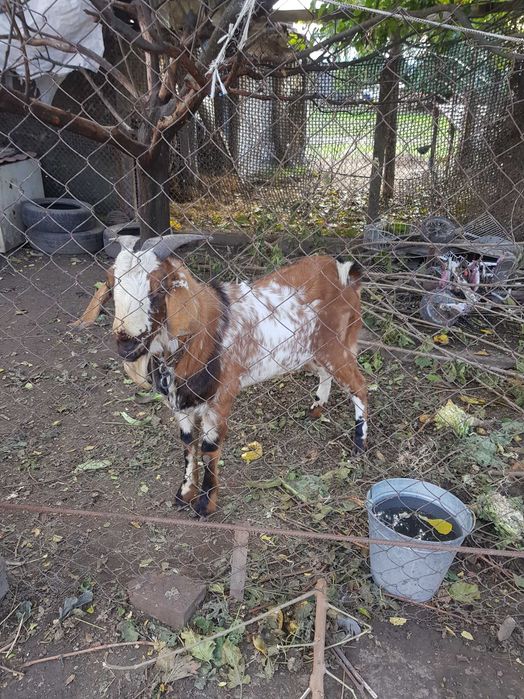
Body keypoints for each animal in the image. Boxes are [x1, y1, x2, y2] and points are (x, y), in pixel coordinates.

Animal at [78, 235, 368, 517]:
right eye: (111, 285)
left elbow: (209, 448)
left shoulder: (221, 397)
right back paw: (316, 409)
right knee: (325, 375)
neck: (202, 333)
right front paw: (184, 494)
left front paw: (205, 506)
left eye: (159, 289)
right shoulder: (181, 402)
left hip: (335, 348)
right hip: (309, 353)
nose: (126, 343)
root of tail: (345, 273)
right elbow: (188, 444)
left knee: (359, 386)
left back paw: (359, 446)